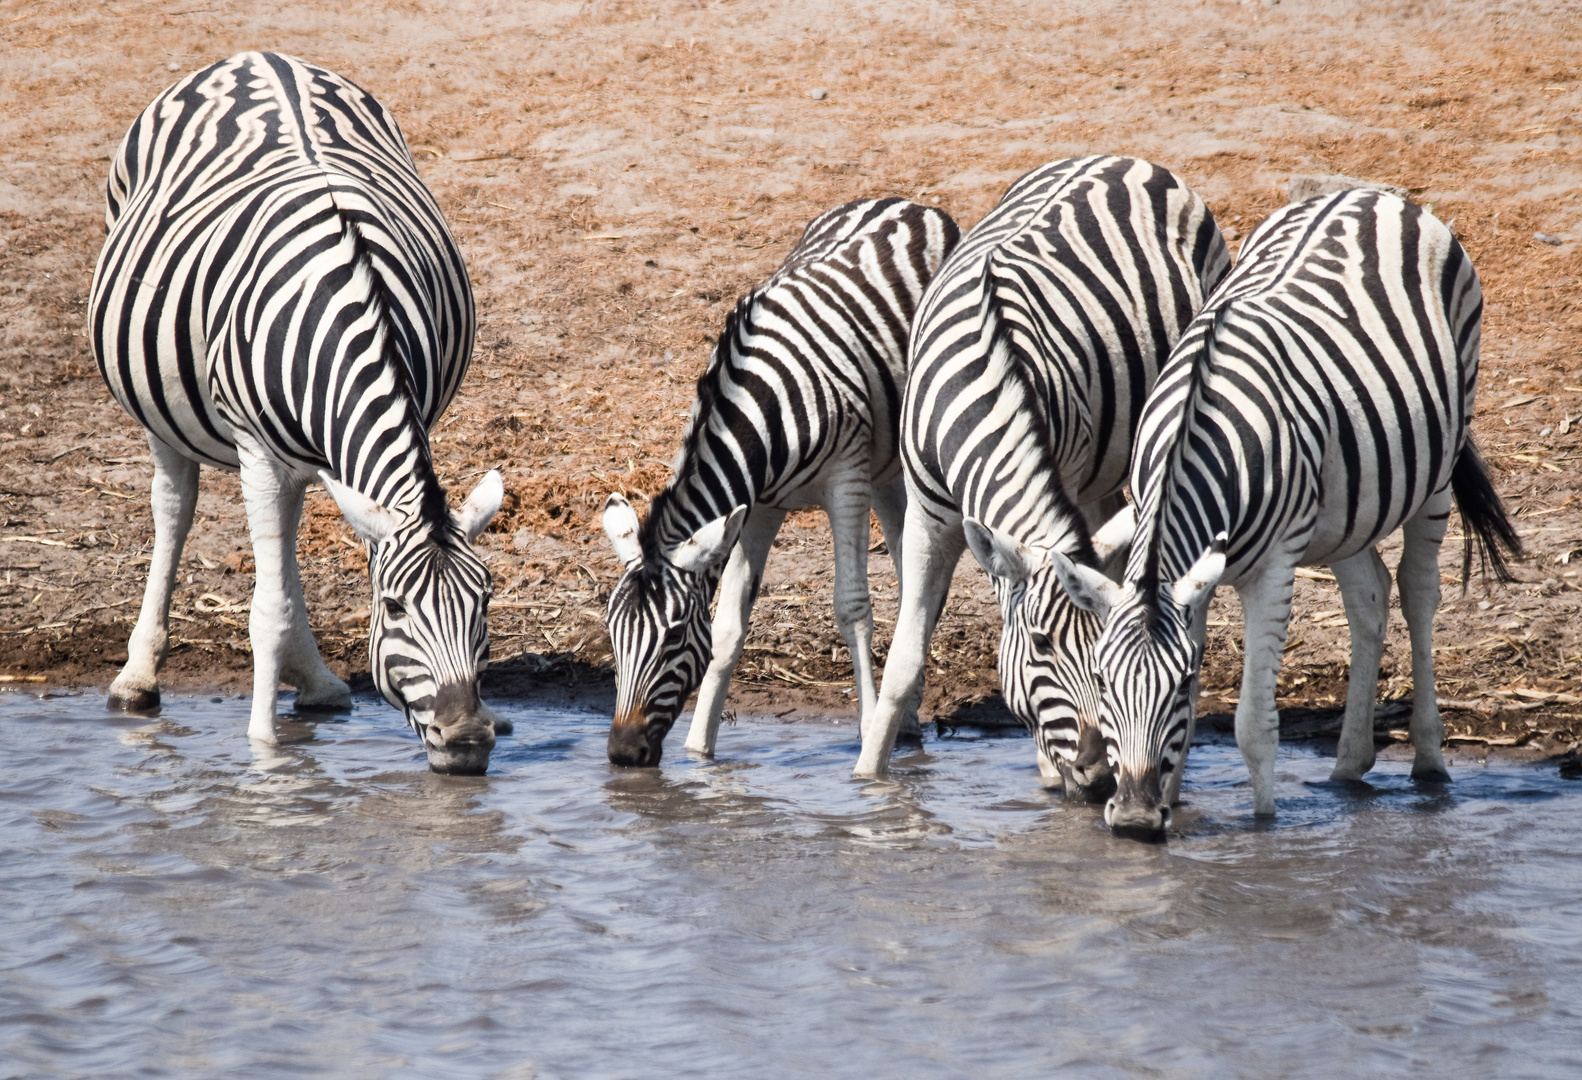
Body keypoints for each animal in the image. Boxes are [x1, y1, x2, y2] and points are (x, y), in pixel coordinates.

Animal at [88, 52, 506, 777]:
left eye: (485, 601)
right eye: (394, 609)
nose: (468, 744)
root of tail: (256, 56)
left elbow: (293, 579)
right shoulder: (256, 451)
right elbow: (268, 609)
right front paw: (266, 756)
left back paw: (315, 683)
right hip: (162, 408)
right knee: (174, 505)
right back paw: (138, 677)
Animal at [597, 196, 955, 768]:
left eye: (673, 638)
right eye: (612, 633)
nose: (623, 755)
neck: (760, 411)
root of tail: (906, 202)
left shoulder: (846, 480)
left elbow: (852, 607)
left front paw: (868, 735)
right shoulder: (757, 505)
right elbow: (727, 625)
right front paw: (700, 753)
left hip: (894, 453)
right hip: (881, 466)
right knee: (904, 556)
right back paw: (908, 716)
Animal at [854, 154, 1233, 793]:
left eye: (1100, 654)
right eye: (1039, 644)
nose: (1099, 774)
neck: (986, 383)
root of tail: (1123, 157)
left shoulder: (1067, 480)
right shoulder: (926, 516)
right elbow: (904, 663)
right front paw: (868, 782)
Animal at [1056, 189, 1525, 841]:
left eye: (1179, 683)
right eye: (1102, 681)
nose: (1131, 819)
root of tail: (1370, 194)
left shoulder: (1273, 568)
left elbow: (1253, 723)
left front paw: (1263, 830)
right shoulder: (1195, 575)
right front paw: (1171, 807)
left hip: (1439, 462)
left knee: (1417, 591)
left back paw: (1429, 761)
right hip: (1352, 501)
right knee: (1369, 596)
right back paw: (1349, 766)